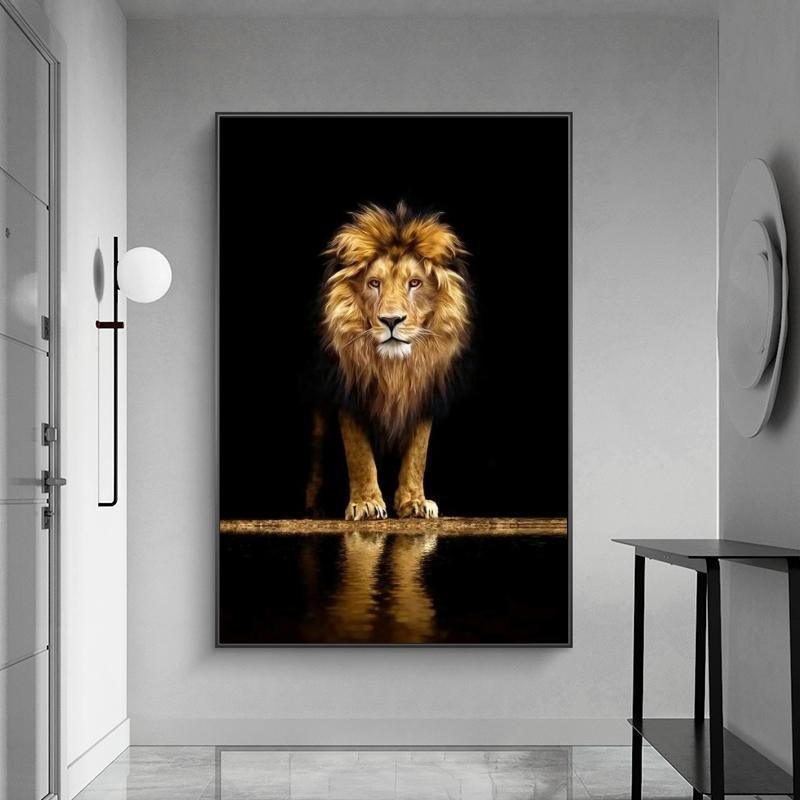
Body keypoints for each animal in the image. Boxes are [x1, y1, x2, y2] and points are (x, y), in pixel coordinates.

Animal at [305, 202, 472, 521]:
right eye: (374, 283)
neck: (394, 368)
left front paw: (415, 502)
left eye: (415, 283)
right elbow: (358, 453)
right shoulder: (349, 391)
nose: (391, 320)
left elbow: (418, 453)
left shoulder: (423, 390)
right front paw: (366, 503)